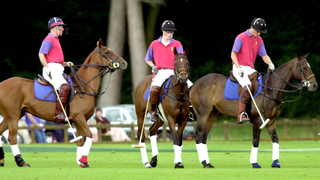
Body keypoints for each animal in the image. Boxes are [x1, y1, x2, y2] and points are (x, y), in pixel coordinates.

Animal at [0, 39, 127, 167]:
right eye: (107, 52)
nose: (124, 63)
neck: (83, 86)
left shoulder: (80, 120)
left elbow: (80, 140)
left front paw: (80, 162)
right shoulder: (79, 117)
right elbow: (89, 135)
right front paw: (83, 160)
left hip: (12, 115)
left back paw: (2, 160)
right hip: (13, 116)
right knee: (12, 138)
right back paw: (21, 162)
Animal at [190, 52, 318, 168]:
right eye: (305, 67)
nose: (314, 85)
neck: (271, 88)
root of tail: (194, 84)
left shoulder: (271, 120)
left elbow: (275, 139)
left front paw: (276, 163)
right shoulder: (258, 120)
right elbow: (256, 140)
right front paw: (254, 163)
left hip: (212, 113)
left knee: (204, 136)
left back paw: (208, 163)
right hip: (203, 113)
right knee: (198, 134)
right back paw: (204, 163)